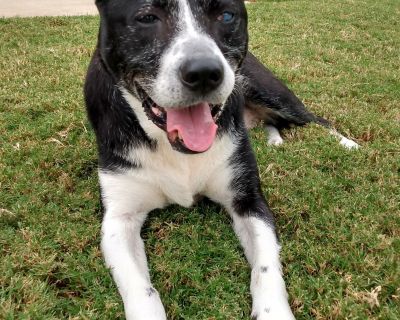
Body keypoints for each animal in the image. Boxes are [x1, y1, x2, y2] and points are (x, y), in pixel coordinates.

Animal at [84, 1, 360, 318]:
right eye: (147, 17)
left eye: (226, 15)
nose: (204, 72)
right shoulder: (119, 219)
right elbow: (140, 287)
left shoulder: (248, 199)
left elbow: (266, 267)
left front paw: (273, 310)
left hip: (268, 90)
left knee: (315, 119)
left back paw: (347, 143)